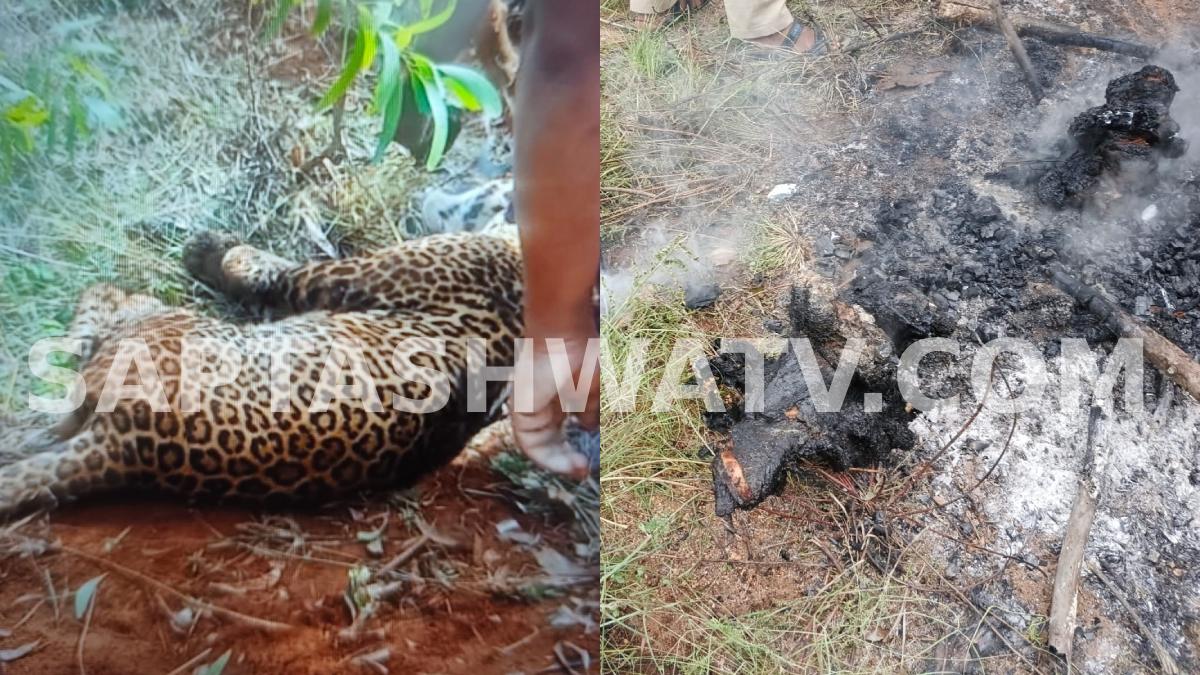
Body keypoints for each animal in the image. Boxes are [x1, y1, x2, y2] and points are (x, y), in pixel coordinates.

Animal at [0, 229, 524, 519]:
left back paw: (105, 292)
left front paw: (206, 251)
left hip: (166, 328)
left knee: (104, 327)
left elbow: (263, 267)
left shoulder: (351, 275)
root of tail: (125, 448)